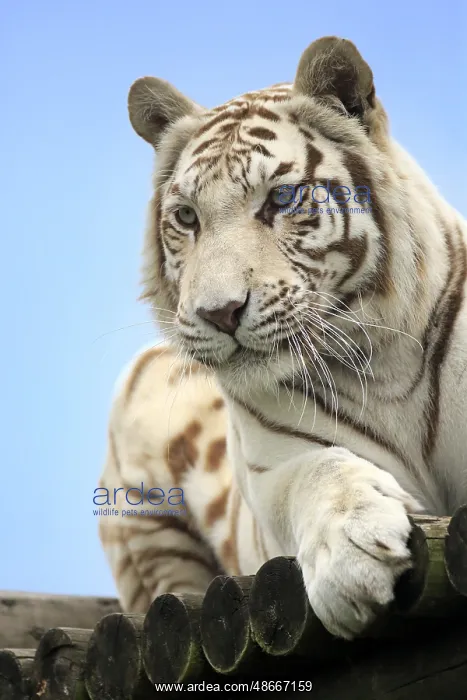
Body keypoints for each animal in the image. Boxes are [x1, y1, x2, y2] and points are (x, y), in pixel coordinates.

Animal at [98, 36, 467, 640]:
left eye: (281, 198)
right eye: (187, 216)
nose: (220, 312)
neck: (383, 360)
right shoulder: (274, 468)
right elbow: (321, 471)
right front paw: (353, 558)